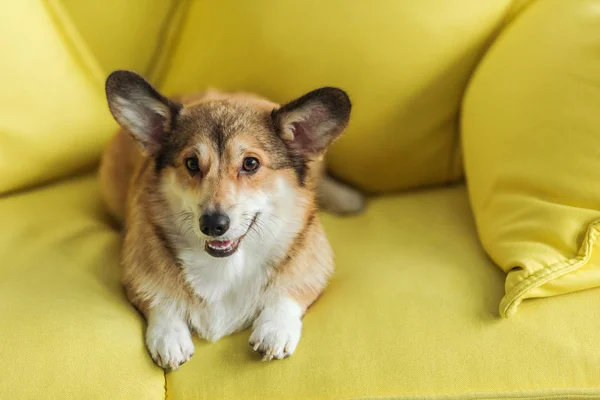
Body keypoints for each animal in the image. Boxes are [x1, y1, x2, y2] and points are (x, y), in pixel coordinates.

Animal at [99, 70, 360, 370]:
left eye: (251, 163)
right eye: (191, 163)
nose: (213, 225)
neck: (225, 265)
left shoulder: (313, 261)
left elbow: (291, 290)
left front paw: (275, 328)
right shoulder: (136, 271)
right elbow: (158, 299)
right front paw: (169, 336)